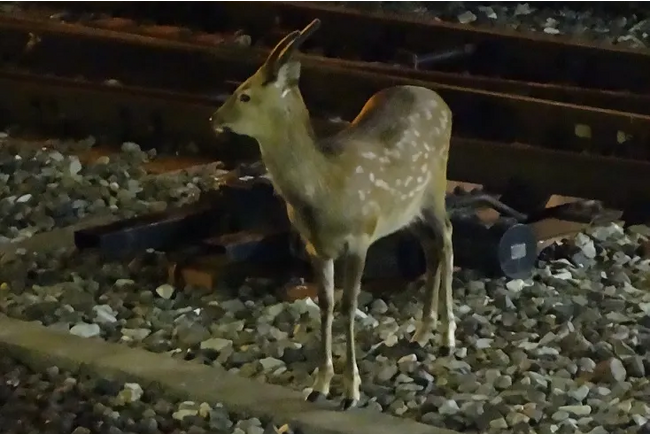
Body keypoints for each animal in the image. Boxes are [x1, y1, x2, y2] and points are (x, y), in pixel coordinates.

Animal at [210, 17, 454, 410]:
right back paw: (422, 330)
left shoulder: (360, 237)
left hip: (435, 189)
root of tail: (442, 102)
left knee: (447, 235)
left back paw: (447, 337)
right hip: (407, 211)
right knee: (431, 247)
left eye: (245, 93)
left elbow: (348, 305)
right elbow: (325, 304)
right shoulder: (316, 247)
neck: (324, 189)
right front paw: (319, 385)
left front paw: (351, 391)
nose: (214, 118)